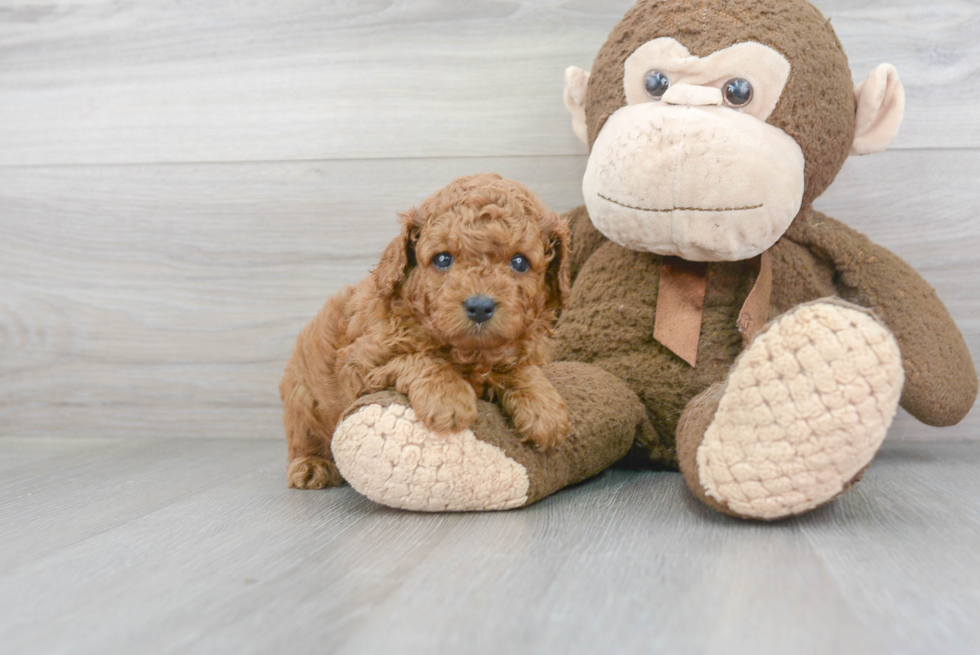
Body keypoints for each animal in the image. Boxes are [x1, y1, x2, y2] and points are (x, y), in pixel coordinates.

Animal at [282, 172, 576, 490]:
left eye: (519, 262)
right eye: (443, 259)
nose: (480, 306)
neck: (469, 352)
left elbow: (521, 369)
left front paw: (544, 409)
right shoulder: (360, 364)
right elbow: (420, 358)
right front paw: (448, 399)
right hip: (302, 403)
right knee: (303, 440)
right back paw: (312, 466)